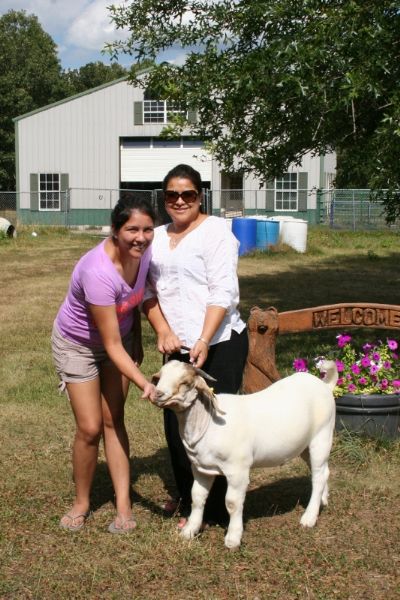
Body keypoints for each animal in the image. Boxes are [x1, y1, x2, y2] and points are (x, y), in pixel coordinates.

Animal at [152, 358, 338, 552]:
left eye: (185, 382)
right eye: (159, 377)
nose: (158, 393)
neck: (208, 422)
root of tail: (325, 385)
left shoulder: (237, 469)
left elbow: (232, 503)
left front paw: (233, 538)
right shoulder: (201, 468)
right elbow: (197, 497)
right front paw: (189, 530)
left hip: (322, 436)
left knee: (318, 476)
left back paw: (309, 518)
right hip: (305, 446)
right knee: (323, 472)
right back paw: (323, 500)